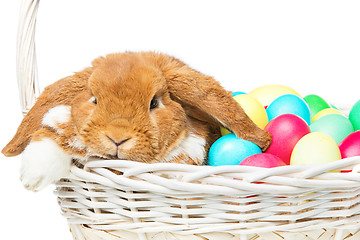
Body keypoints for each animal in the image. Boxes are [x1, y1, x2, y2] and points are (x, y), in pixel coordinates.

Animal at [0, 52, 270, 191]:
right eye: (94, 99)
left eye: (154, 103)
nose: (117, 138)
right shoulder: (62, 125)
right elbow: (50, 136)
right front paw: (33, 178)